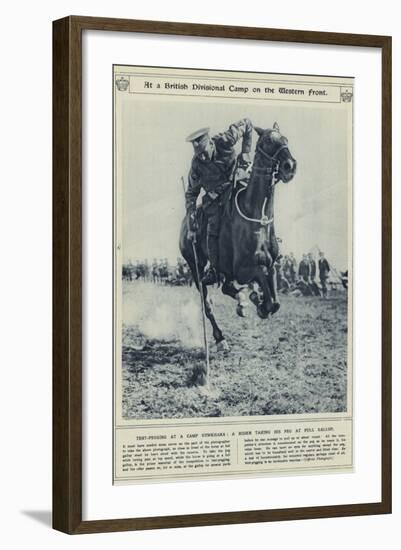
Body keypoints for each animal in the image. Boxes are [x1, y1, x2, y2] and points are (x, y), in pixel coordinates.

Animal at [180, 121, 296, 354]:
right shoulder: (245, 269)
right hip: (196, 267)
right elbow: (264, 295)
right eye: (268, 141)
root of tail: (184, 224)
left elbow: (275, 302)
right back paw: (220, 338)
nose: (290, 165)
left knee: (226, 287)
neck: (256, 215)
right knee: (208, 304)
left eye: (285, 139)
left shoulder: (271, 266)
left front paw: (256, 299)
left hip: (222, 270)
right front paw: (257, 302)